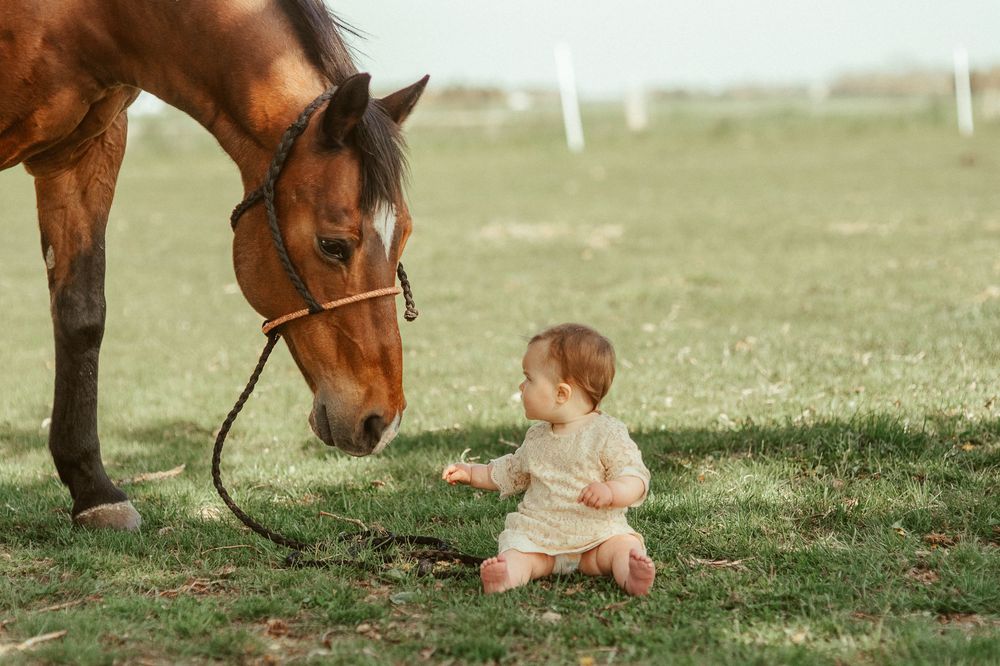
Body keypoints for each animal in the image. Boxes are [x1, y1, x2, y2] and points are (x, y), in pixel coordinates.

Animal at [0, 0, 428, 531]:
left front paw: (94, 492)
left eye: (403, 235)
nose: (381, 421)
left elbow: (81, 316)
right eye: (332, 245)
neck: (92, 18)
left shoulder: (87, 151)